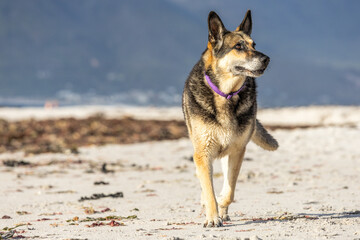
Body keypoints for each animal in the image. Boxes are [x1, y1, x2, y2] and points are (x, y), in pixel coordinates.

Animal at [183, 10, 278, 227]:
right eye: (238, 46)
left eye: (254, 44)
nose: (267, 59)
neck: (226, 95)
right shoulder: (203, 153)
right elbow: (209, 190)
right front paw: (212, 217)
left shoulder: (237, 151)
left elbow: (229, 191)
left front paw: (221, 208)